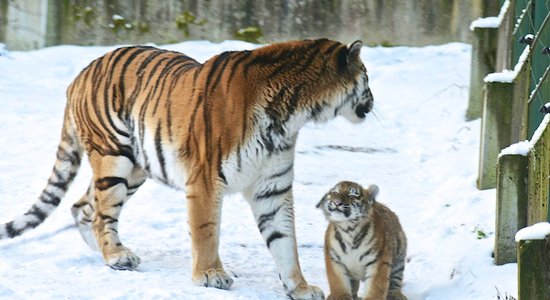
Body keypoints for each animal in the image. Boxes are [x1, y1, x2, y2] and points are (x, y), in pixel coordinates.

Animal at [0, 38, 376, 298]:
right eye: (367, 79)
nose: (373, 103)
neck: (292, 115)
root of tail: (80, 74)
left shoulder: (273, 187)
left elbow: (285, 241)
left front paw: (299, 287)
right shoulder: (206, 179)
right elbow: (207, 230)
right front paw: (210, 275)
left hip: (135, 168)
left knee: (84, 207)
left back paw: (106, 251)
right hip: (114, 157)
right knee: (102, 212)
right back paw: (116, 255)